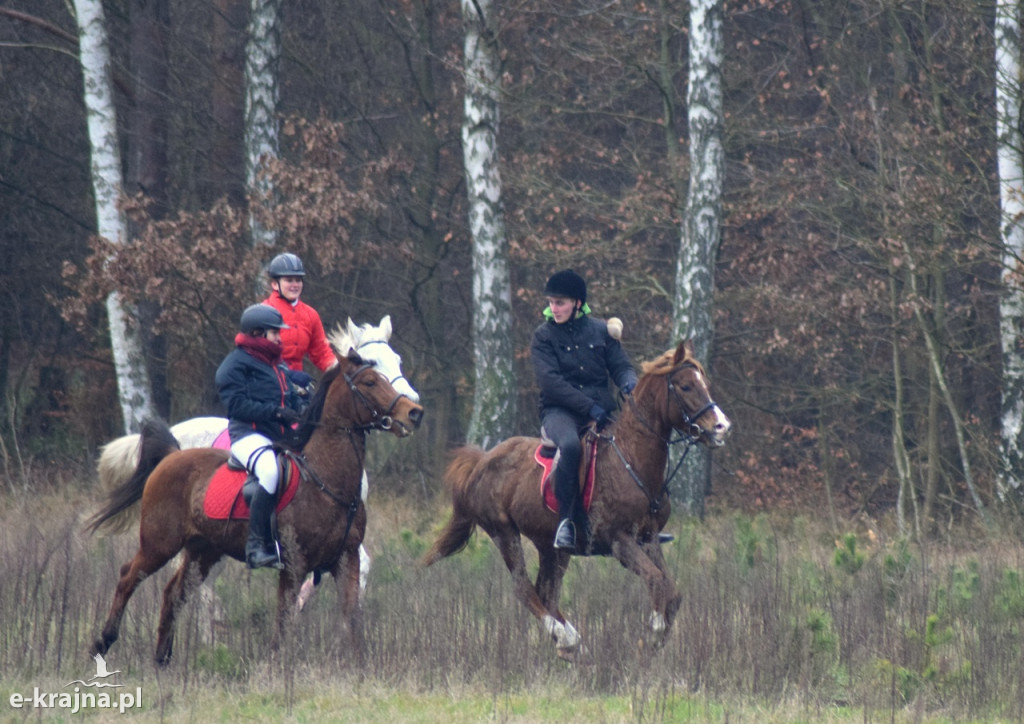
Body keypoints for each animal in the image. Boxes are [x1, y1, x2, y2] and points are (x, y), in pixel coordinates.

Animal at [87, 348, 423, 663]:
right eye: (370, 381)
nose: (414, 412)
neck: (325, 480)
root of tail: (172, 455)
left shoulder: (346, 557)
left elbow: (352, 616)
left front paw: (358, 666)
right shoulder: (294, 563)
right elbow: (284, 618)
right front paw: (275, 665)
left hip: (203, 551)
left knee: (174, 594)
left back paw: (162, 659)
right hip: (160, 543)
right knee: (129, 576)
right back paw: (102, 643)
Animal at [421, 337, 729, 655]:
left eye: (704, 382)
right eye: (686, 386)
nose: (721, 427)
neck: (631, 459)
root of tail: (481, 462)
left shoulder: (649, 538)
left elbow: (672, 592)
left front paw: (658, 637)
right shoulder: (619, 540)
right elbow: (657, 581)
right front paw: (653, 633)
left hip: (551, 546)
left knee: (546, 592)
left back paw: (572, 643)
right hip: (504, 533)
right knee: (524, 589)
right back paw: (566, 637)